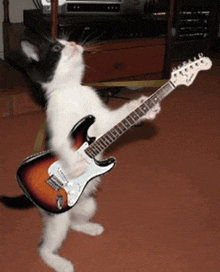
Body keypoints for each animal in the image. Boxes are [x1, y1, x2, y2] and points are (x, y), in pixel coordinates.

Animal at [14, 36, 162, 272]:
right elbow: (63, 147)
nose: (74, 43)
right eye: (57, 47)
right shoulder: (58, 128)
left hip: (88, 204)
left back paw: (90, 228)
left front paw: (144, 108)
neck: (72, 90)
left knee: (74, 223)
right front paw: (76, 168)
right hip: (57, 220)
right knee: (45, 247)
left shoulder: (102, 120)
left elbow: (116, 119)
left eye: (67, 40)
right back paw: (59, 262)